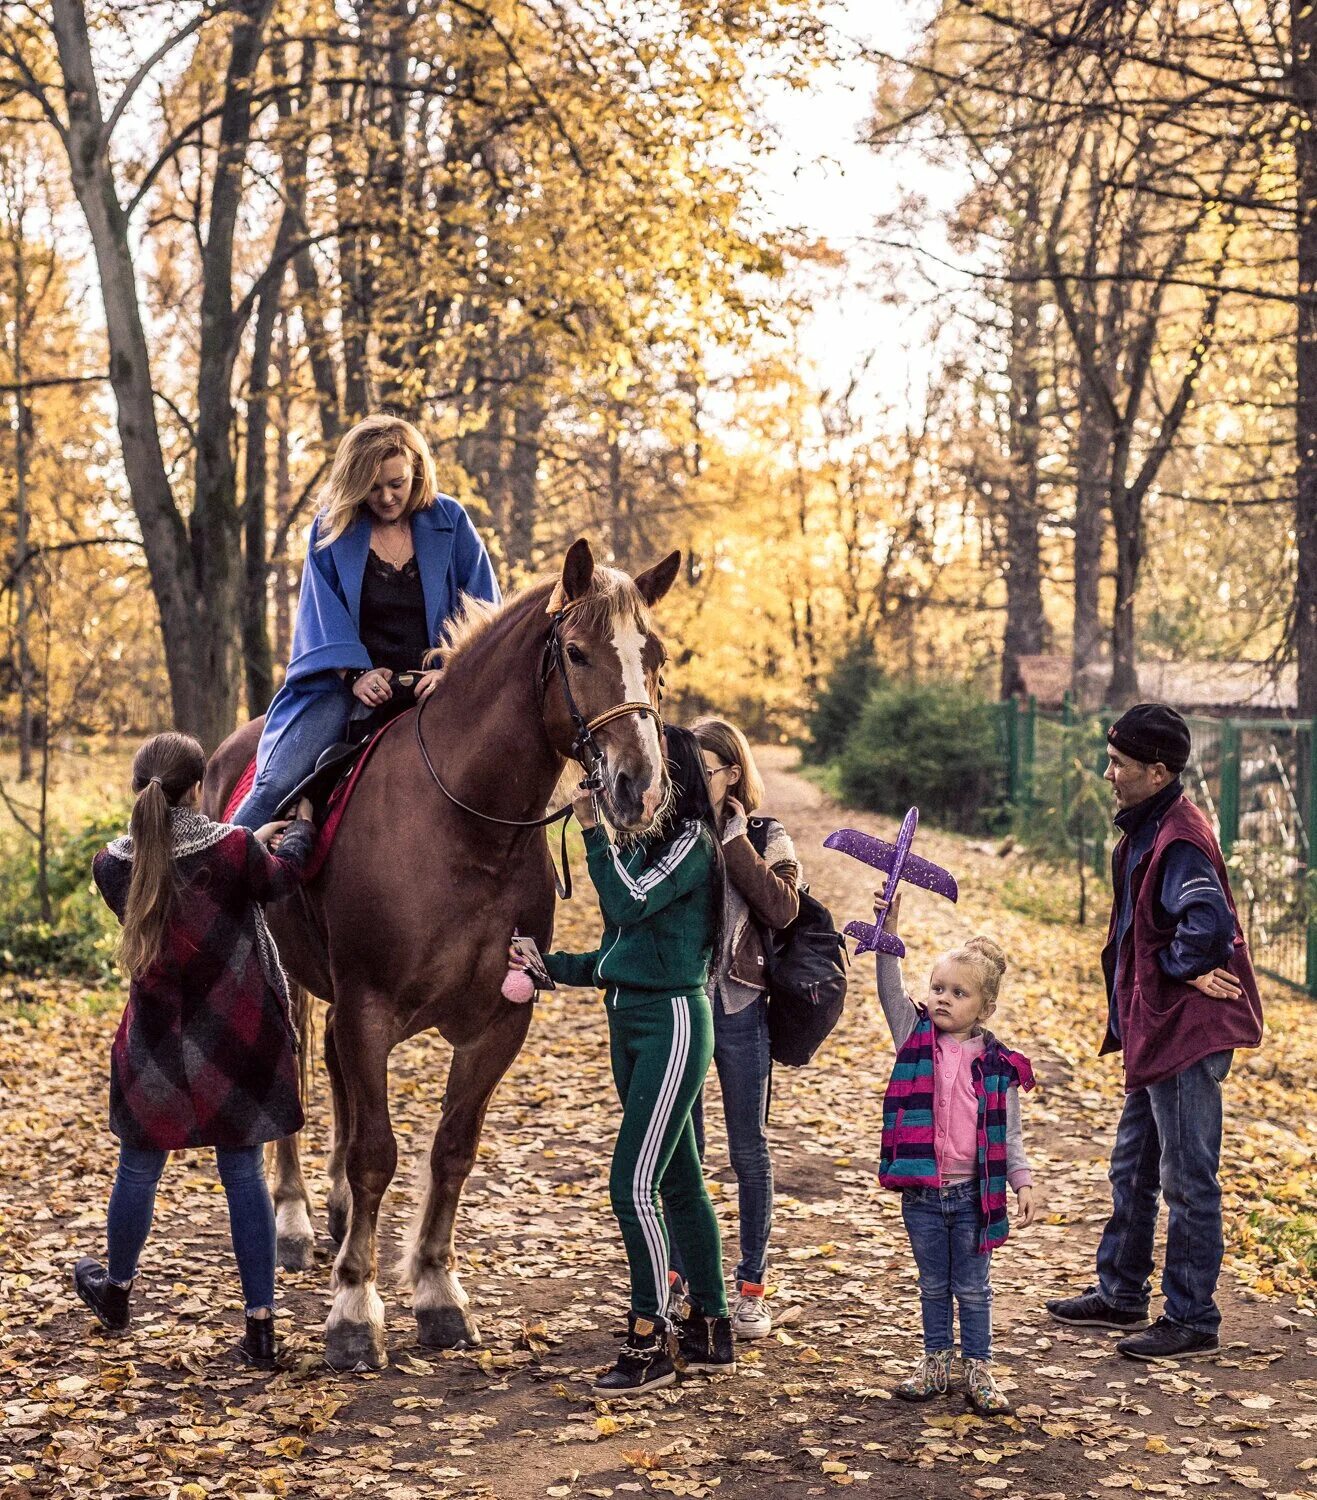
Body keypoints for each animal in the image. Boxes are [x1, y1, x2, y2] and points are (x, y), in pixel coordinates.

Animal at [208, 543, 681, 1374]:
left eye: (652, 656)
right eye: (576, 653)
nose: (639, 787)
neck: (466, 828)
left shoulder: (498, 1023)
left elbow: (452, 1150)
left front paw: (434, 1291)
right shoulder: (367, 1008)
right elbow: (376, 1153)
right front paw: (354, 1309)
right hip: (287, 976)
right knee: (298, 1075)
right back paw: (294, 1220)